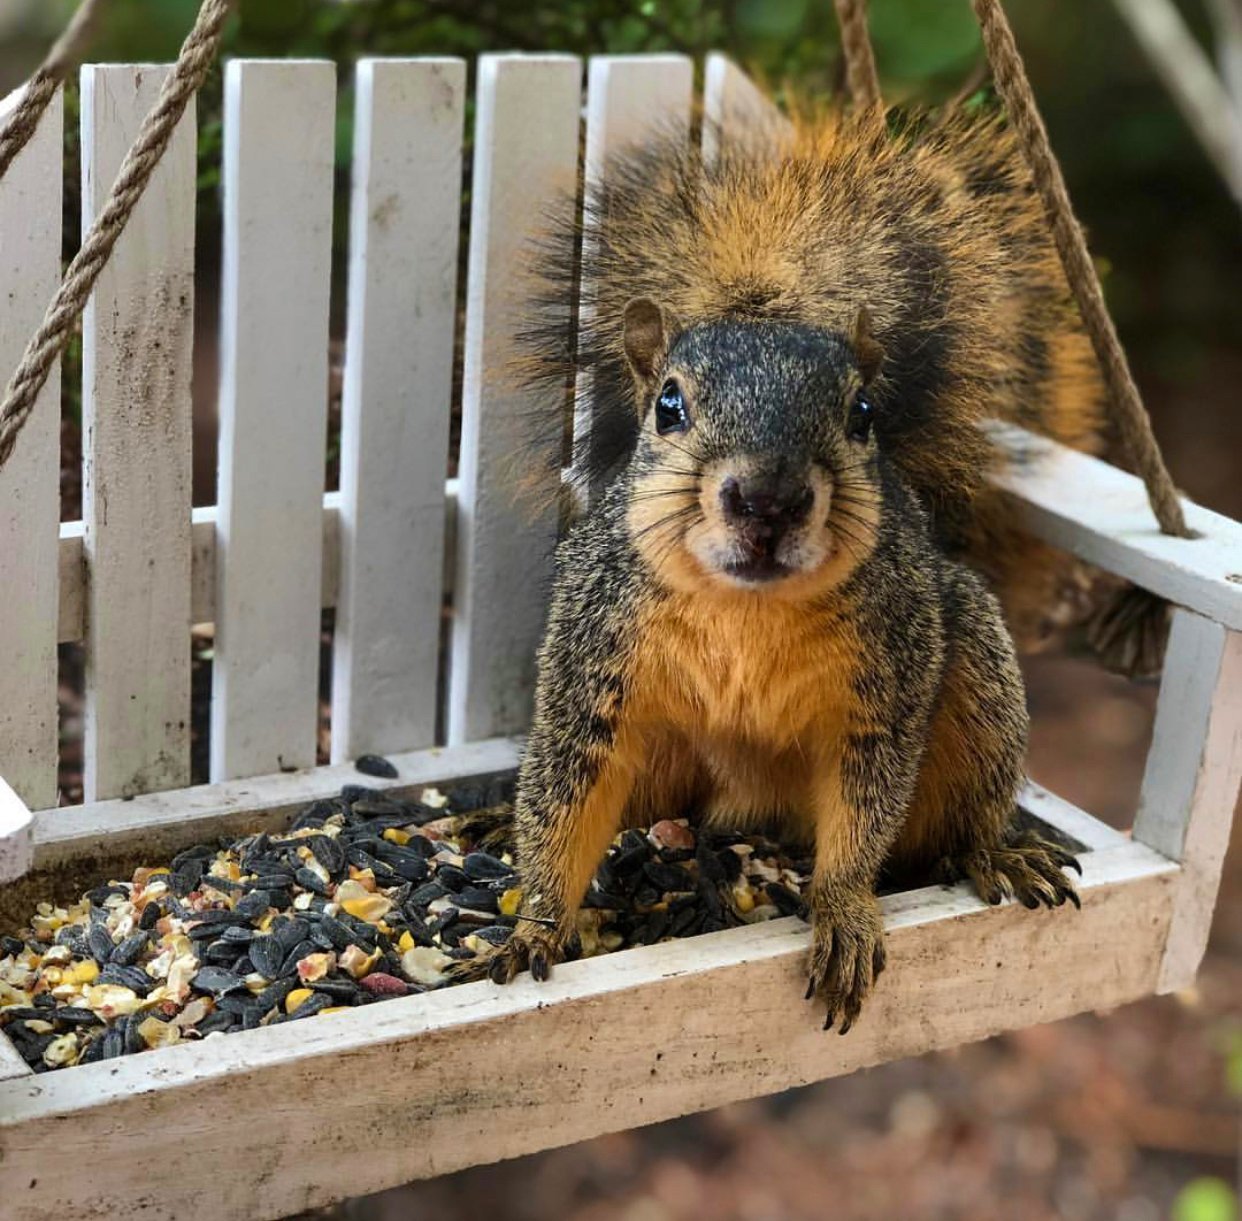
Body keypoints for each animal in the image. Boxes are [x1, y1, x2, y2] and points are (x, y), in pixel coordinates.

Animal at [466, 104, 1117, 1028]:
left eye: (864, 411)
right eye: (667, 405)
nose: (768, 498)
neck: (745, 604)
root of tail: (751, 810)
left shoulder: (884, 684)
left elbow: (864, 807)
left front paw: (842, 908)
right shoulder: (595, 660)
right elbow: (566, 790)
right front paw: (537, 923)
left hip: (976, 676)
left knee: (959, 815)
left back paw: (995, 853)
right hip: (666, 755)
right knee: (642, 807)